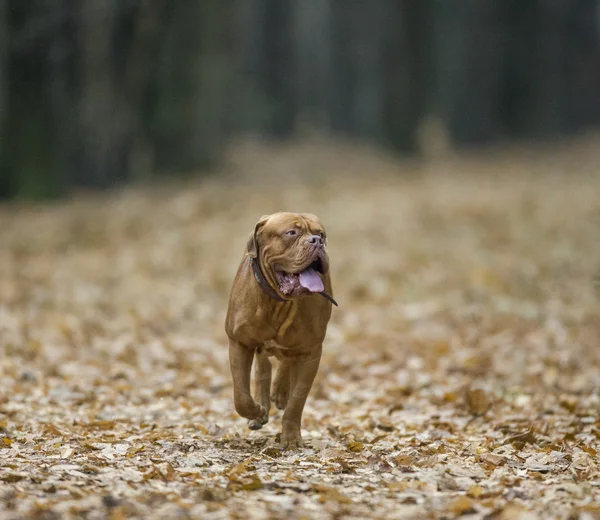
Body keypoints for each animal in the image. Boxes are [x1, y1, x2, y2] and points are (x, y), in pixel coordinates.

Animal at [226, 213, 338, 448]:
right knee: (263, 367)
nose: (317, 241)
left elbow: (297, 401)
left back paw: (279, 391)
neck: (278, 302)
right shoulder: (239, 342)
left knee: (284, 361)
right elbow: (241, 396)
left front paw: (292, 438)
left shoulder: (311, 353)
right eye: (291, 233)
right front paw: (257, 411)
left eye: (321, 234)